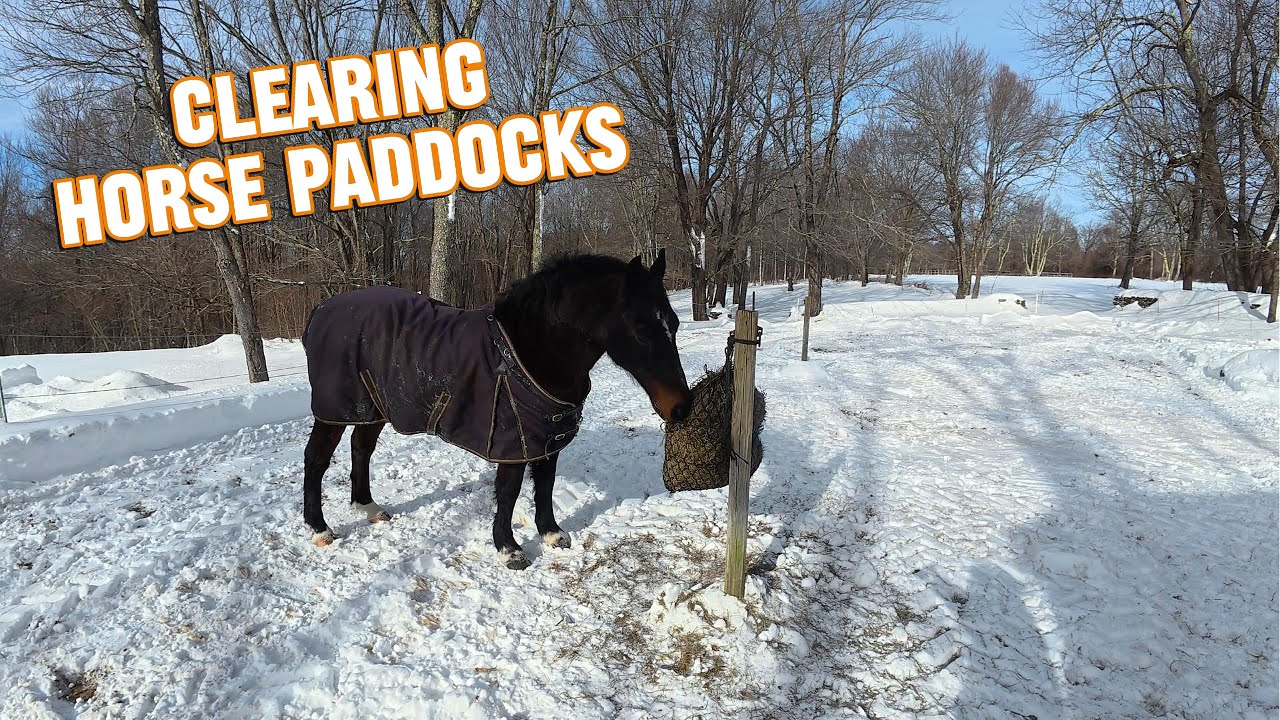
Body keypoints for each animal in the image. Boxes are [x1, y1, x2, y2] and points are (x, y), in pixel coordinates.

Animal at [299, 251, 691, 569]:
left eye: (673, 323)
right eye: (640, 330)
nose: (681, 408)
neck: (530, 352)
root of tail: (320, 310)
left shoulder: (547, 436)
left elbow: (544, 484)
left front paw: (552, 534)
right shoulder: (511, 440)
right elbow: (509, 490)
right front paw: (509, 549)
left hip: (371, 407)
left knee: (361, 448)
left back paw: (368, 508)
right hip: (334, 411)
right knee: (316, 459)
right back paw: (319, 528)